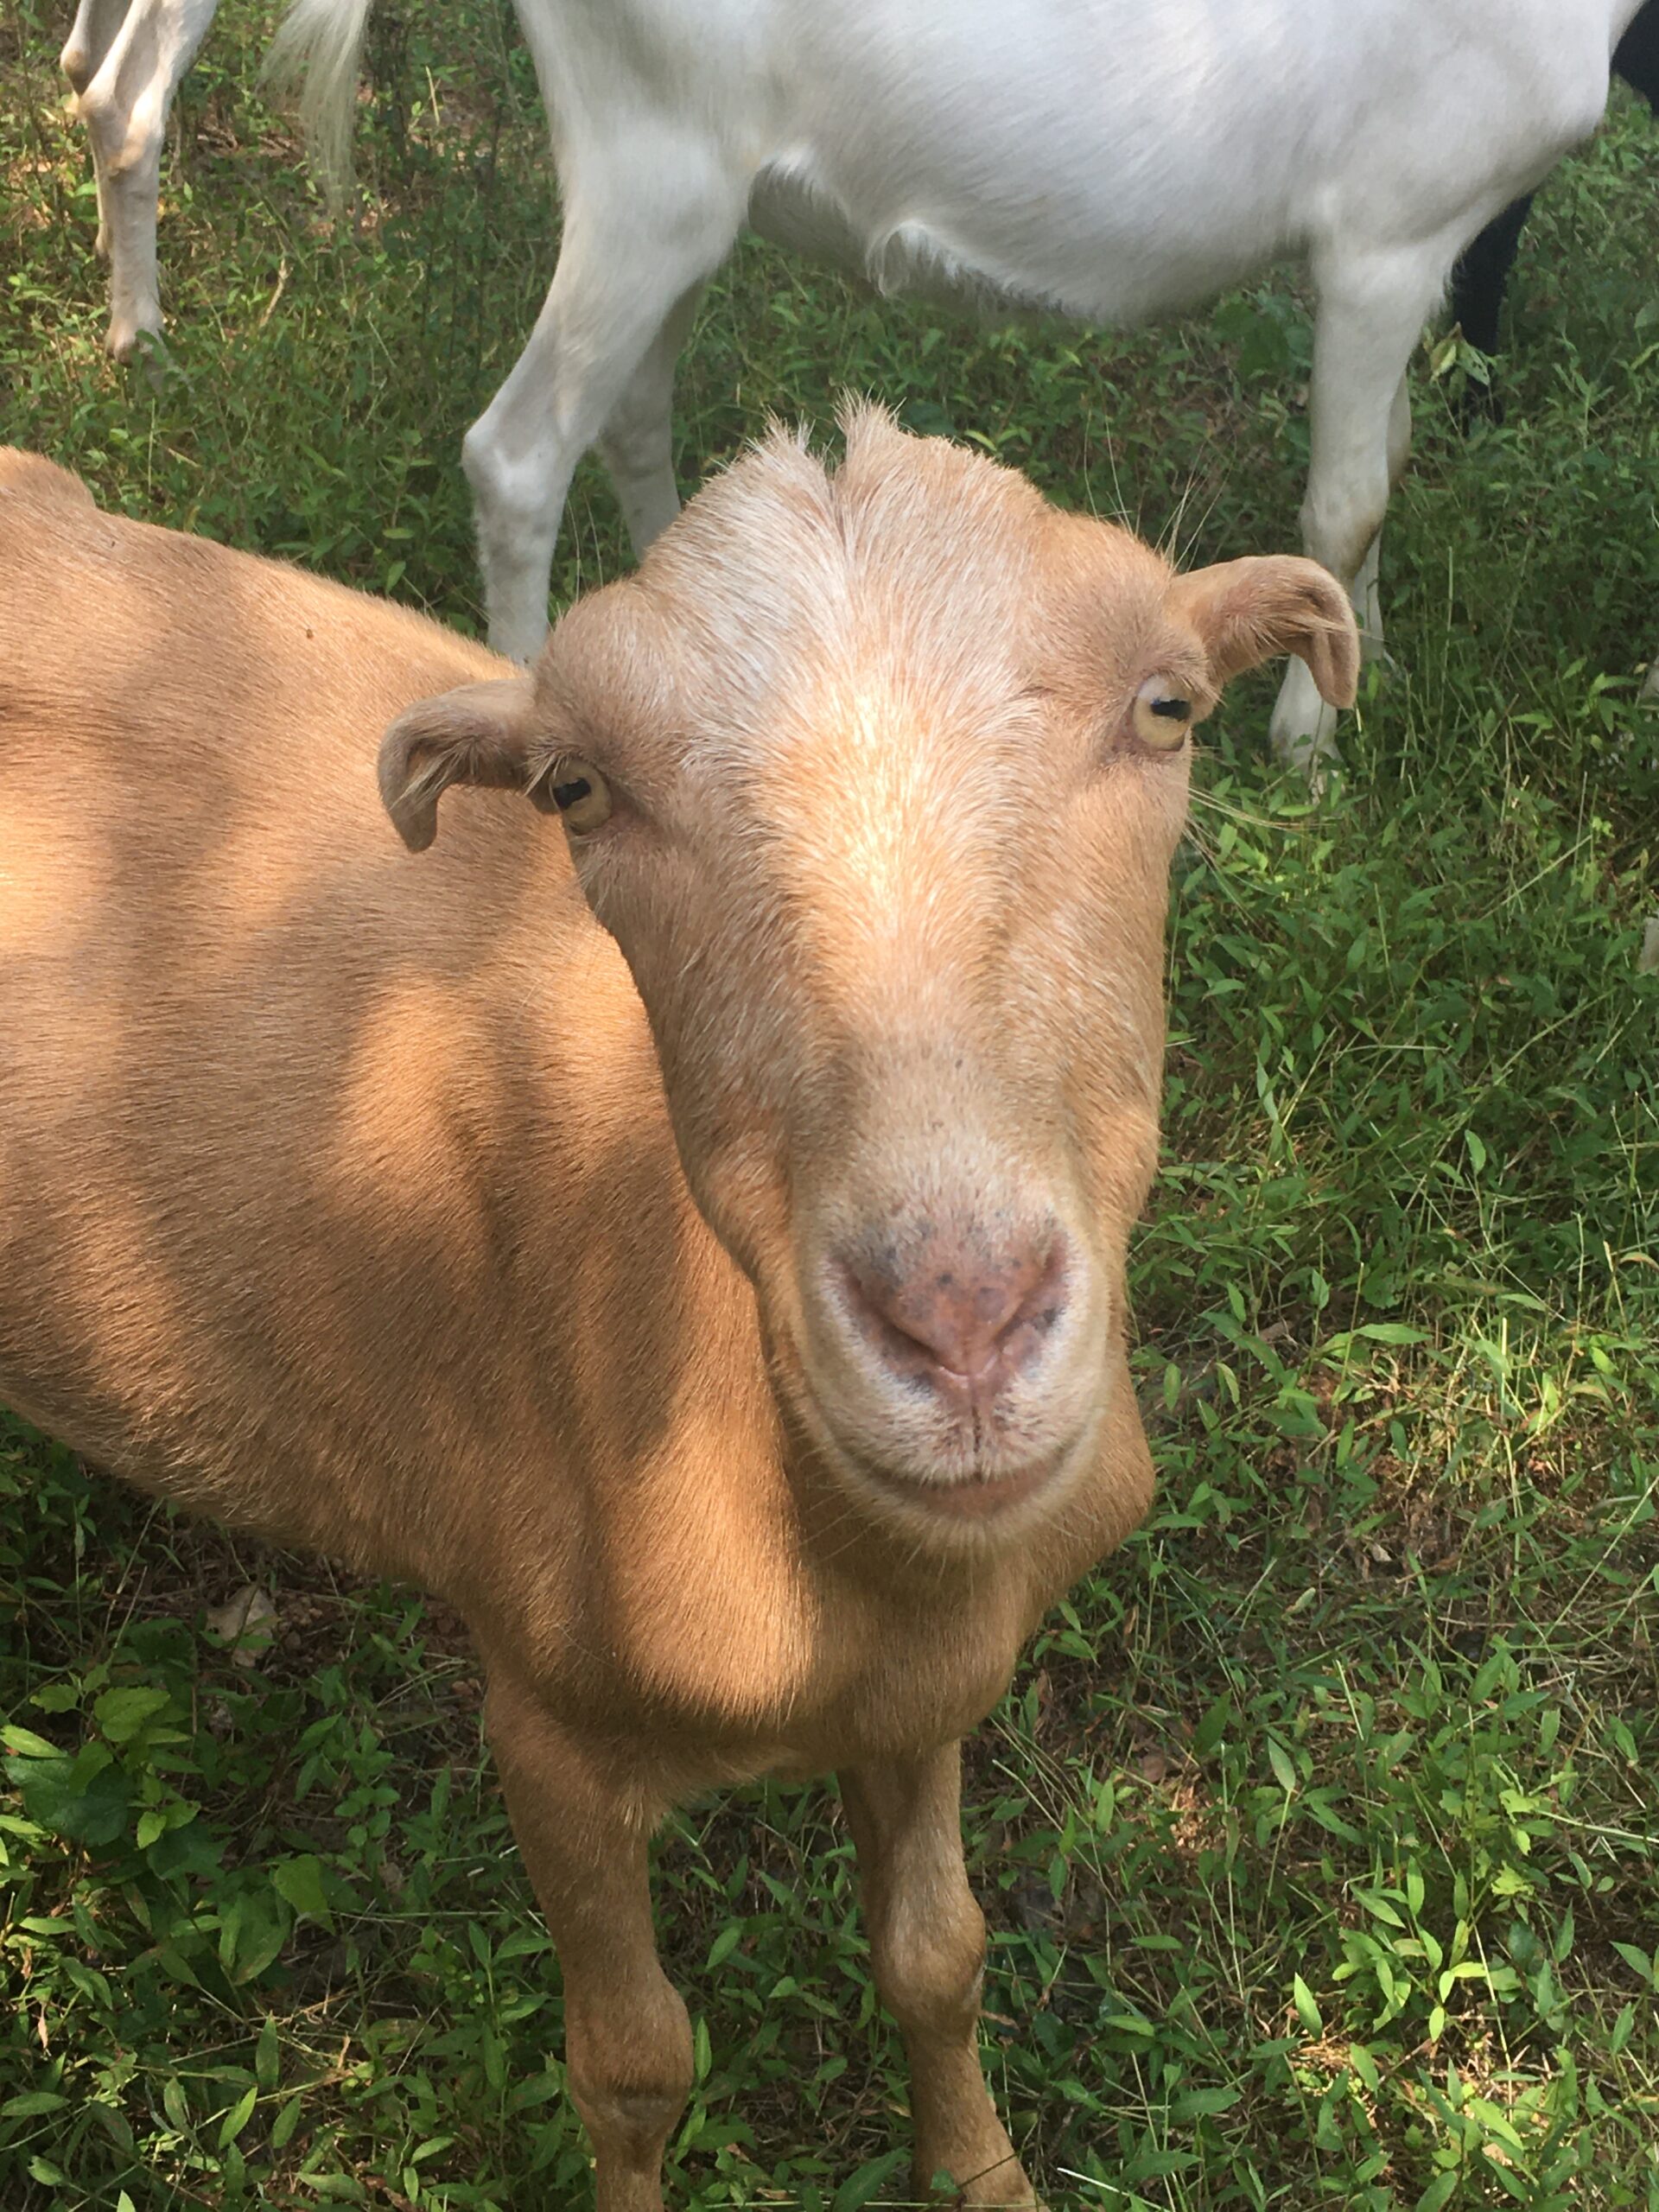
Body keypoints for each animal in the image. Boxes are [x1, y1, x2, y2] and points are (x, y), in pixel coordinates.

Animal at [0, 416, 1357, 2208]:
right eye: (580, 788)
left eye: (1170, 706)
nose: (961, 1318)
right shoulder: (550, 1730)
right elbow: (633, 2069)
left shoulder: (924, 1682)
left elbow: (939, 1954)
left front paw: (981, 2169)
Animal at [273, 0, 1638, 775]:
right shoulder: (1383, 239)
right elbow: (1348, 500)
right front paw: (1309, 744)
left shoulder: (1427, 244)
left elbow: (1391, 458)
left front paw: (1374, 661)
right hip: (647, 167)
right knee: (519, 452)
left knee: (631, 409)